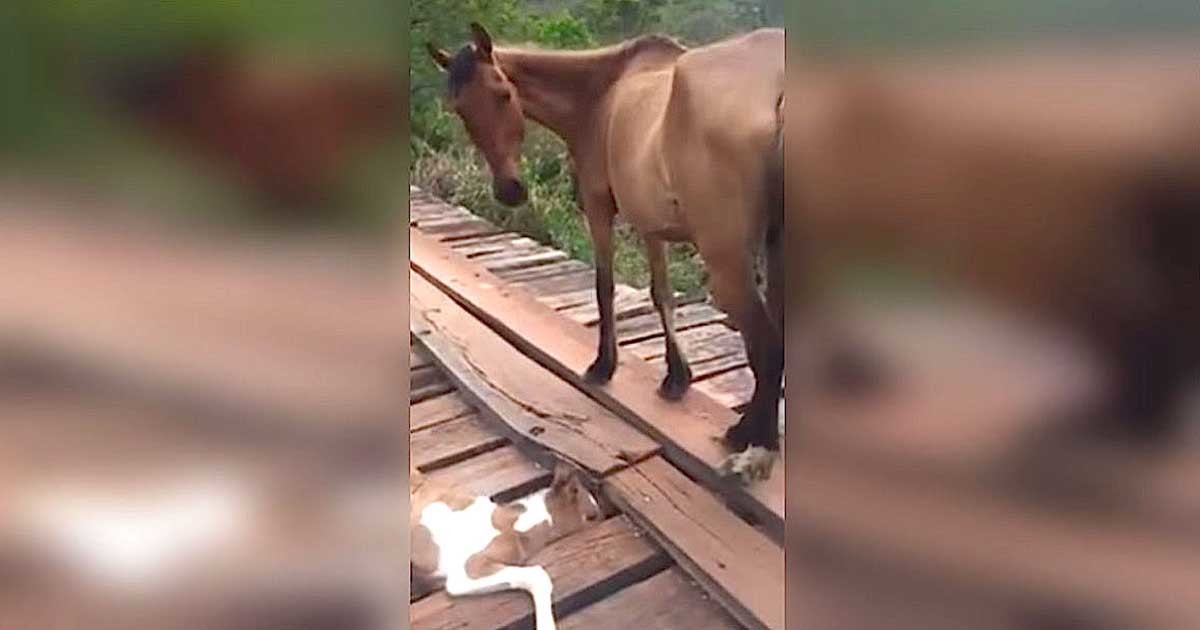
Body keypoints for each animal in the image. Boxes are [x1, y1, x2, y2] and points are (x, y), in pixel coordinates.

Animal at [427, 23, 785, 481]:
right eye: (460, 109)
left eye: (503, 94)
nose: (509, 191)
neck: (601, 91)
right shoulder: (650, 222)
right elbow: (661, 295)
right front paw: (677, 377)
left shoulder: (598, 205)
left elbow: (605, 286)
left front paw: (603, 365)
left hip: (728, 258)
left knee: (766, 345)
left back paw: (752, 443)